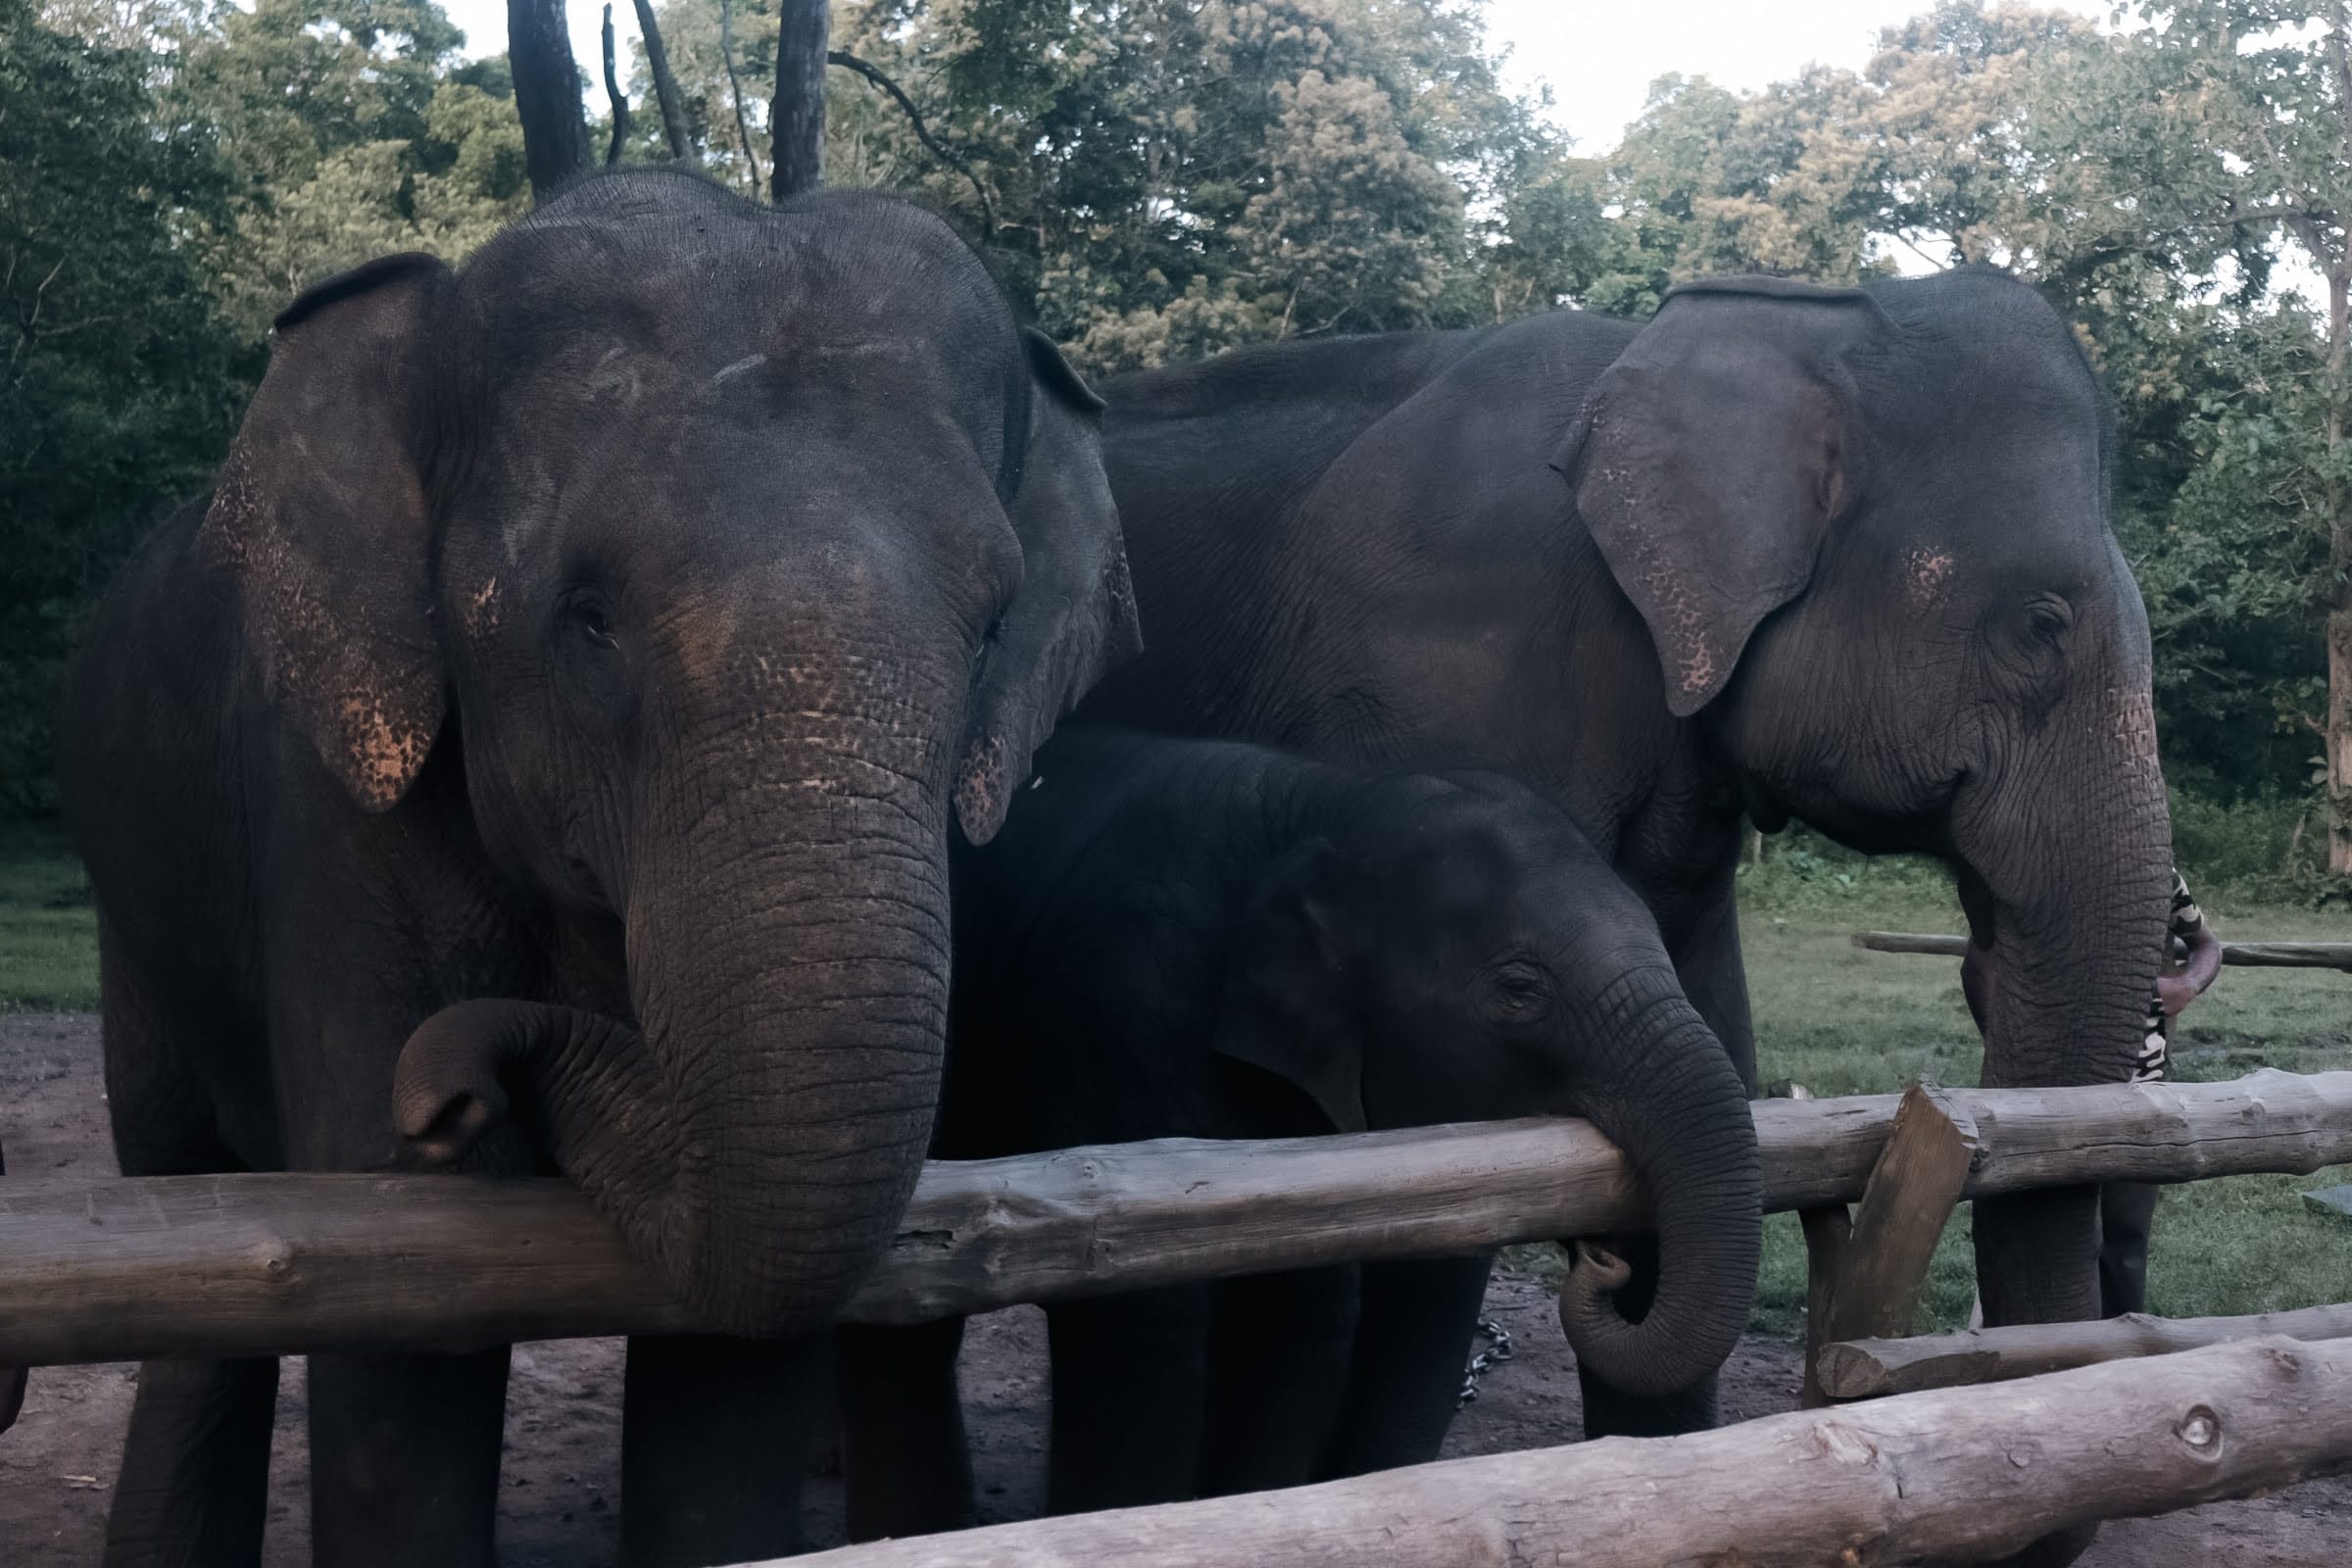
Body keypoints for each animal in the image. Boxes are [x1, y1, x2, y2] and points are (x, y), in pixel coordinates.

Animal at [62, 168, 1137, 1568]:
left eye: (997, 625)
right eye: (587, 618)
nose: (451, 1095)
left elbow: (729, 1372)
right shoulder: (331, 803)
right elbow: (403, 1316)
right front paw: (424, 1162)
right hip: (130, 930)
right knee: (190, 1216)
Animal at [834, 728, 1761, 1537]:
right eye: (1520, 988)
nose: (1602, 1257)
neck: (1321, 805)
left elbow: (1303, 1305)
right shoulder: (1121, 1008)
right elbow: (1144, 1320)